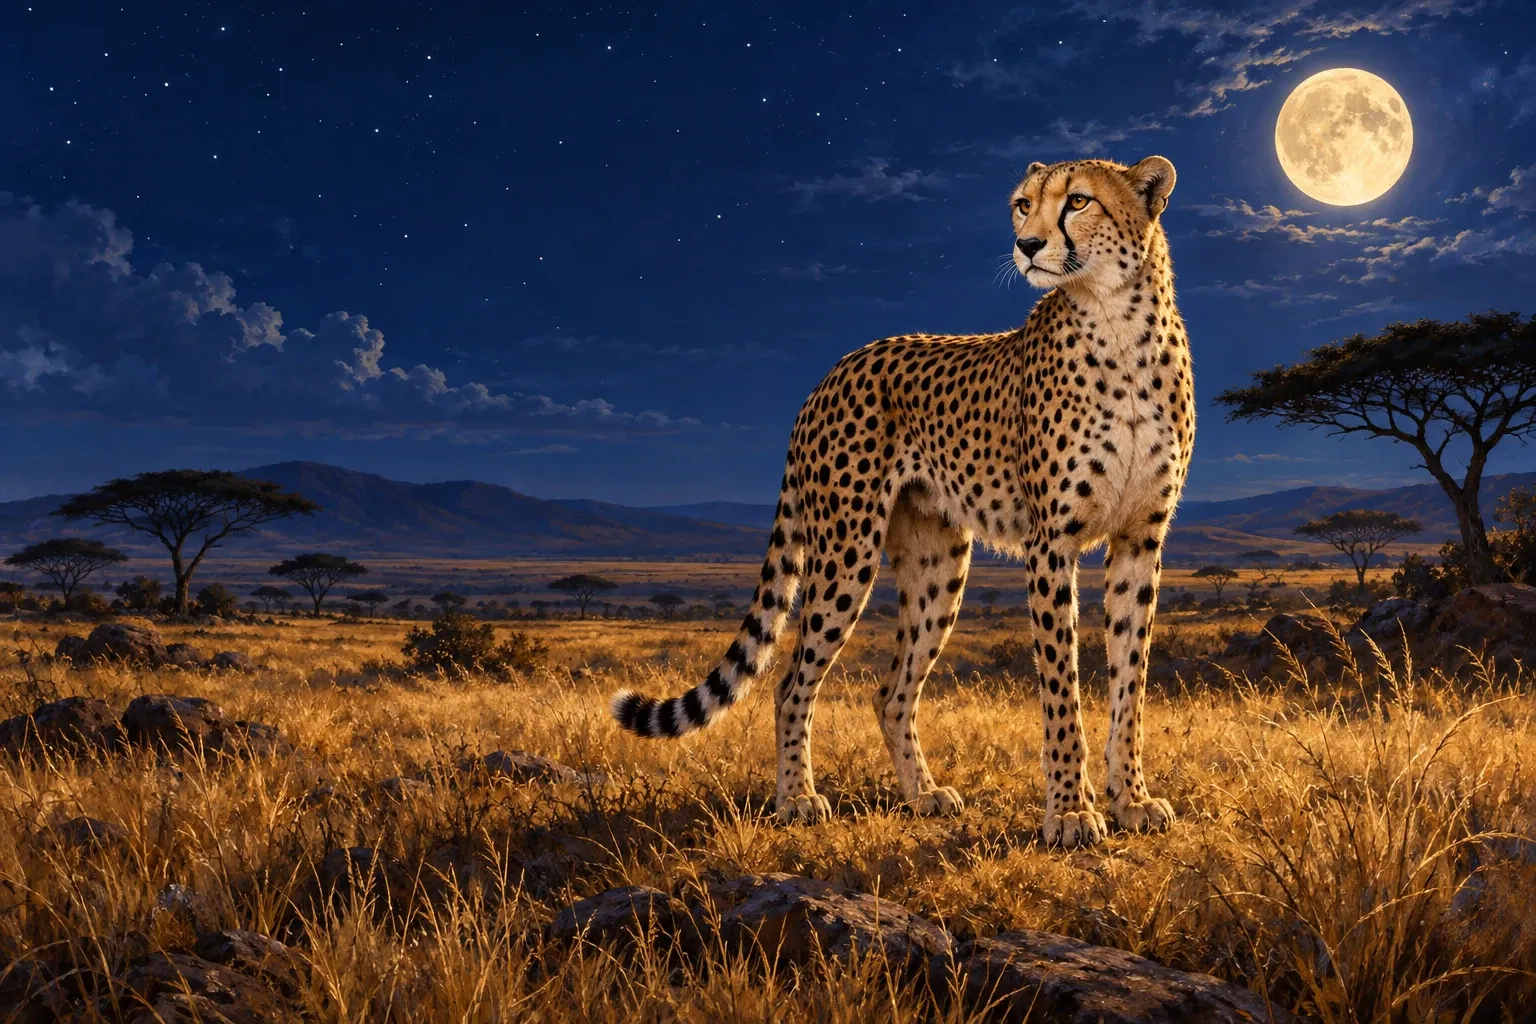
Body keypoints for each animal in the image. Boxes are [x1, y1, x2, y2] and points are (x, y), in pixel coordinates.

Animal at [611, 155, 1194, 849]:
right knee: (790, 683)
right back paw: (796, 798)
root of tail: (833, 369)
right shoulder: (1052, 542)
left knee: (891, 692)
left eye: (1078, 201)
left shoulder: (1140, 538)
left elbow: (1131, 681)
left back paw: (921, 794)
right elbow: (1062, 687)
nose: (1026, 245)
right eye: (1022, 205)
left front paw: (1132, 799)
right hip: (846, 551)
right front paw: (1071, 811)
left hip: (938, 567)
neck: (1118, 322)